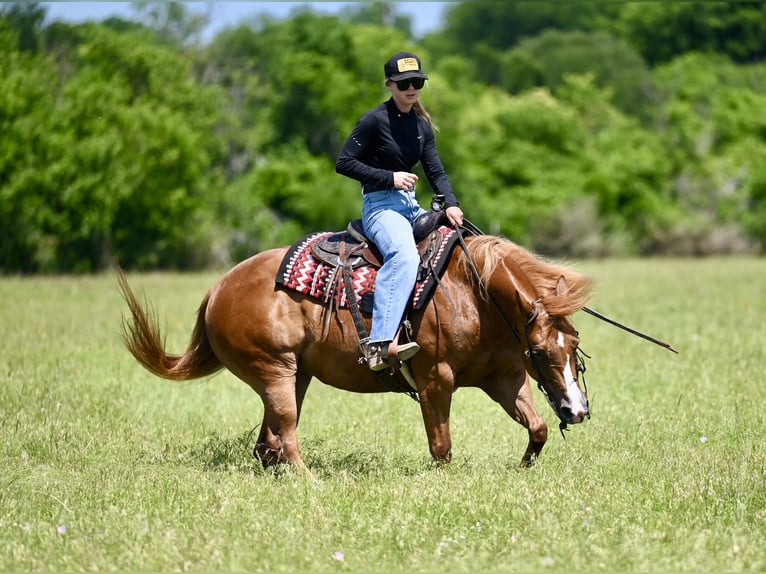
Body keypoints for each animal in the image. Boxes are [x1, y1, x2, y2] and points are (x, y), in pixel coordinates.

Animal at [116, 232, 593, 473]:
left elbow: (537, 428)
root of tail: (218, 288)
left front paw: (524, 467)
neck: (471, 291)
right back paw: (309, 480)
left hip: (295, 376)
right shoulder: (436, 380)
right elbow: (442, 448)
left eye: (574, 345)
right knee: (284, 433)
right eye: (540, 351)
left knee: (267, 443)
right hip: (274, 371)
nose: (577, 410)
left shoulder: (505, 378)